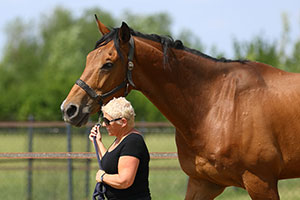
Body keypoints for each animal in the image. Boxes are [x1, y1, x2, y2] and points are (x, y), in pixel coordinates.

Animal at [60, 16, 300, 199]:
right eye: (88, 58)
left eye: (108, 64)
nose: (69, 109)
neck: (216, 105)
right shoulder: (202, 183)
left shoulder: (261, 182)